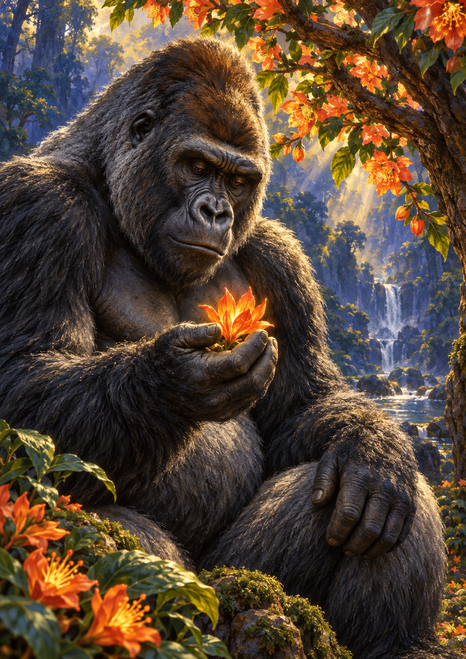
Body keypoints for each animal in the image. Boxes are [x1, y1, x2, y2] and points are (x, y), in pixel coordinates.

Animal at [0, 37, 452, 658]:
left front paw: (373, 450)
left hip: (248, 576)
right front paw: (171, 383)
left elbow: (305, 407)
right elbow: (25, 378)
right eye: (196, 167)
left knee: (375, 504)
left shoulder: (279, 258)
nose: (216, 212)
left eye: (238, 181)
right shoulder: (37, 205)